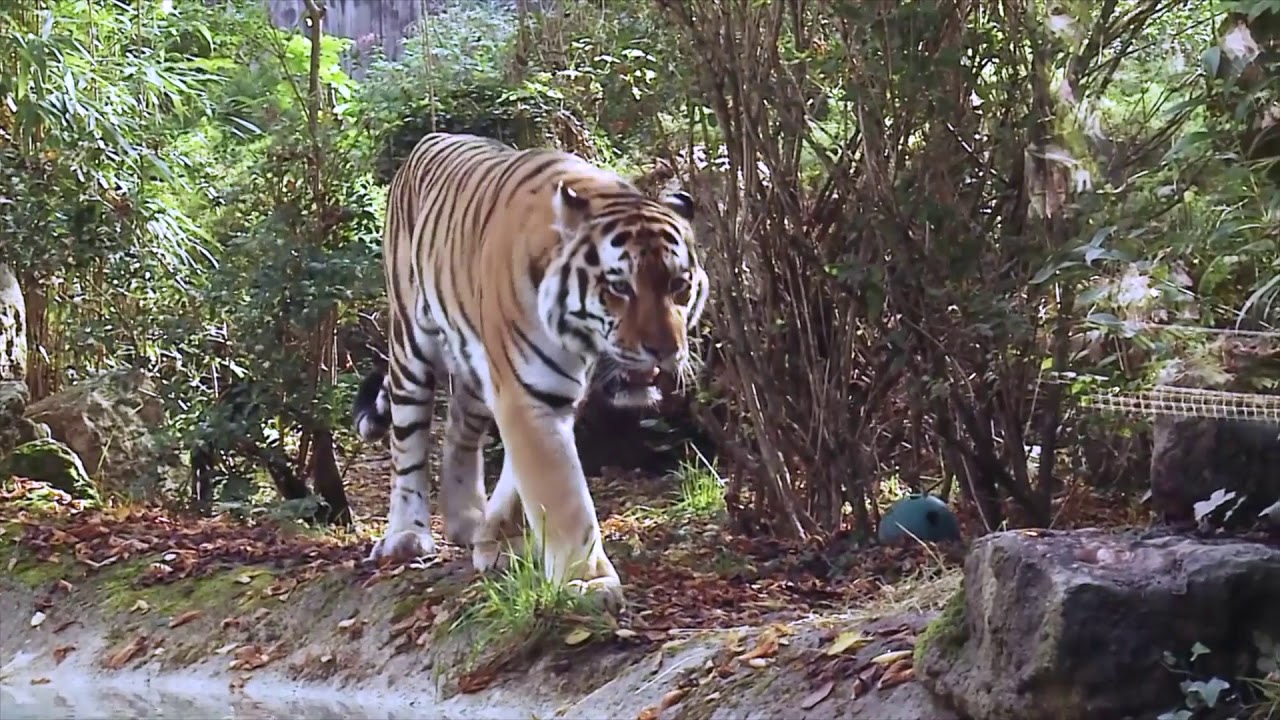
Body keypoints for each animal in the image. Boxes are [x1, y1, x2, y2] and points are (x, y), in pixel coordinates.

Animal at [351, 132, 709, 605]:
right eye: (619, 288)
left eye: (678, 285)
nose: (664, 350)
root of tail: (429, 139)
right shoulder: (527, 393)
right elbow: (560, 491)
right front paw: (586, 580)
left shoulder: (534, 390)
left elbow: (520, 477)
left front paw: (496, 539)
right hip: (410, 343)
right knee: (407, 443)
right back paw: (406, 535)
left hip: (472, 368)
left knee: (460, 431)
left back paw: (465, 520)